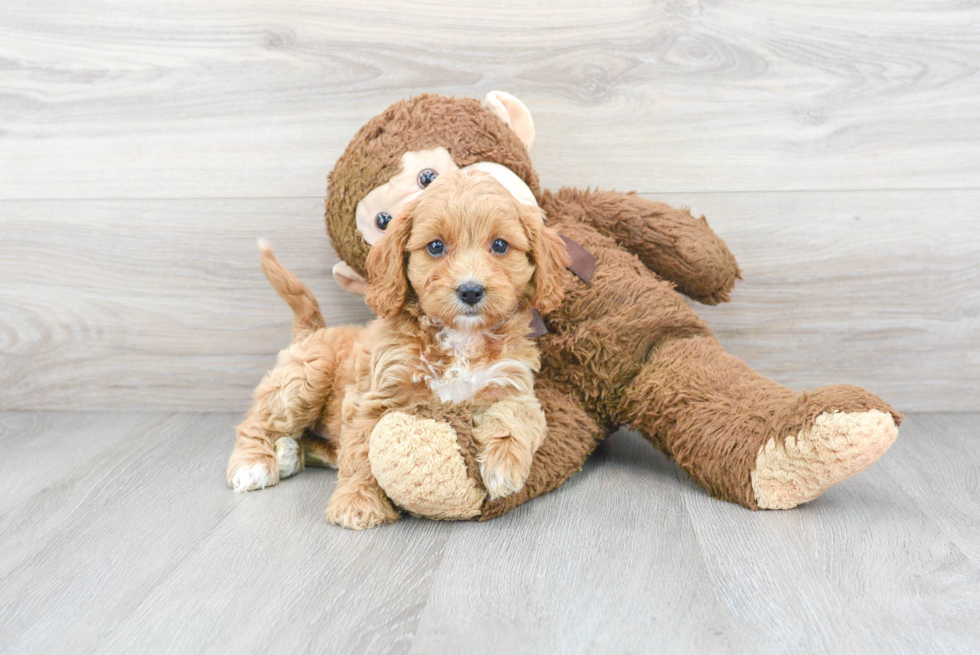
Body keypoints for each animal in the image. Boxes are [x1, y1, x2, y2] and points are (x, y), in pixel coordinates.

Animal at [228, 168, 568, 528]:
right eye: (436, 246)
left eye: (500, 245)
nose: (471, 290)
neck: (460, 337)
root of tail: (313, 330)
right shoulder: (376, 395)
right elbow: (361, 452)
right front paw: (357, 501)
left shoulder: (513, 384)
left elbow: (515, 417)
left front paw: (504, 465)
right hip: (307, 377)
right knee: (260, 421)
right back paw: (254, 463)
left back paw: (290, 454)